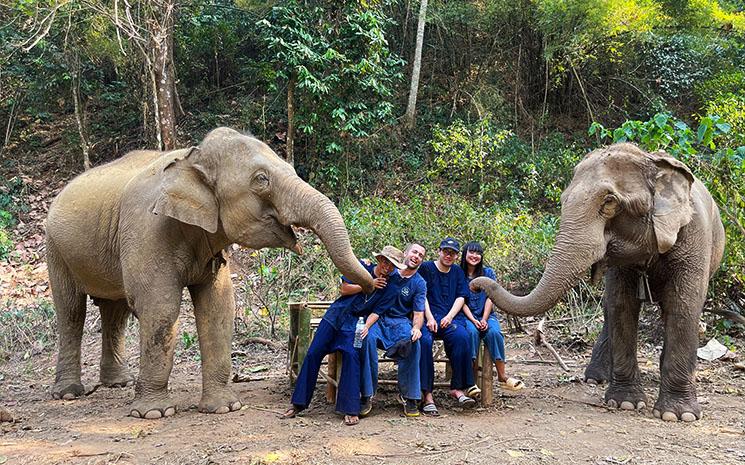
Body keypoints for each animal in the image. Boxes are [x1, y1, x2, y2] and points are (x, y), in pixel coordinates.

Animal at [46, 127, 374, 419]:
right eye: (261, 180)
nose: (373, 283)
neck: (193, 158)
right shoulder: (146, 230)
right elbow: (160, 308)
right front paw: (154, 413)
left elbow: (218, 307)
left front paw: (225, 408)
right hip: (55, 249)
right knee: (71, 311)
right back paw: (68, 393)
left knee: (115, 312)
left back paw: (118, 383)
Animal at [472, 142, 725, 422]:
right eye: (563, 201)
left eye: (609, 201)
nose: (475, 283)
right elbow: (621, 305)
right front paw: (625, 403)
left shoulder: (695, 240)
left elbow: (684, 307)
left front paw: (677, 416)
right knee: (609, 309)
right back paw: (596, 378)